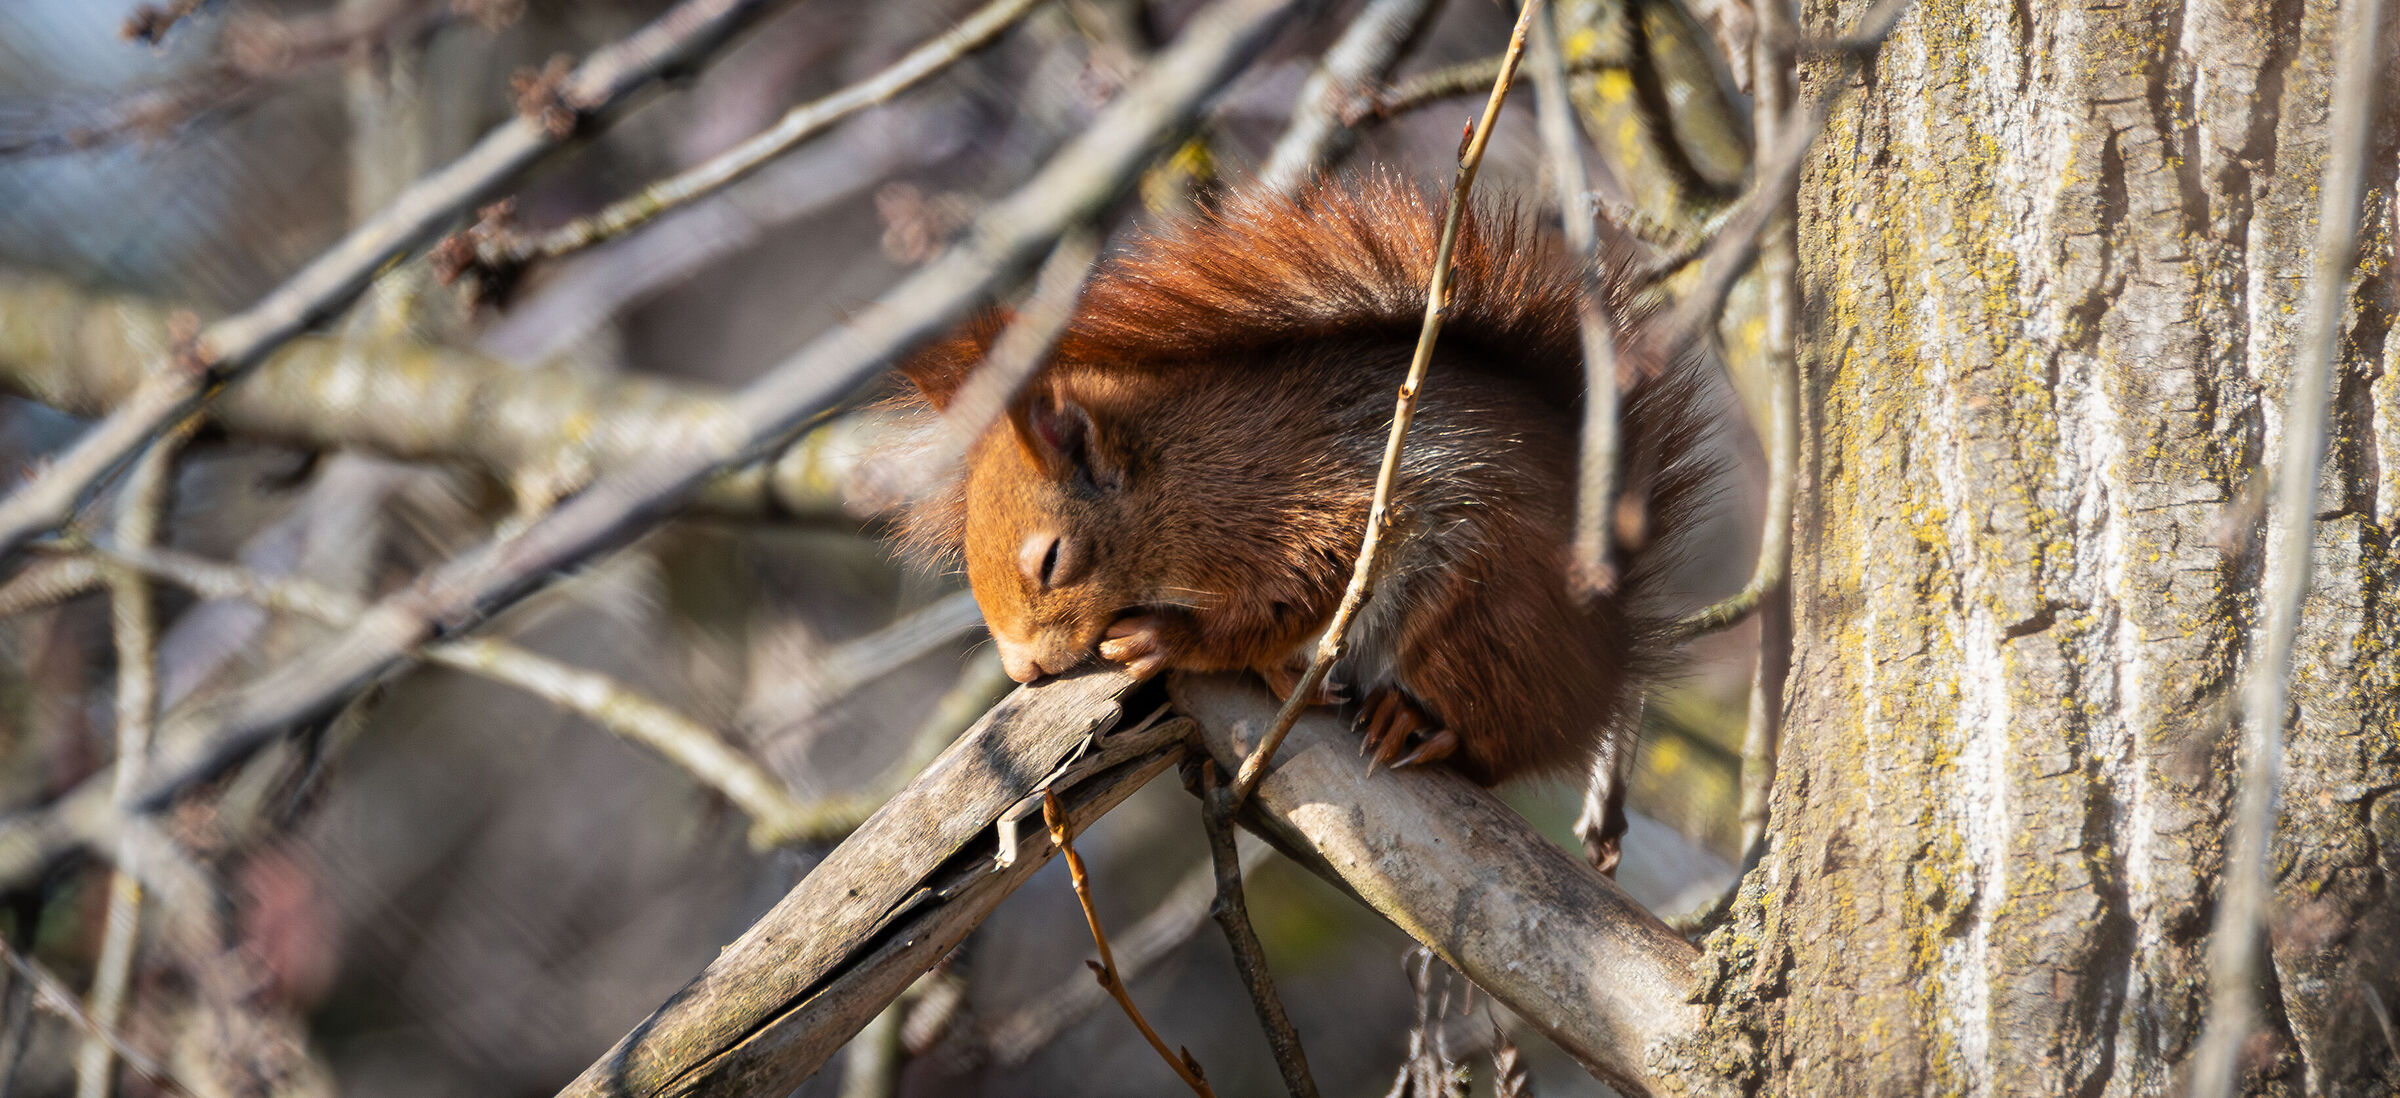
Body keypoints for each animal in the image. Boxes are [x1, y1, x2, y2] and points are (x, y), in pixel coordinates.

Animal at [890, 175, 1717, 868]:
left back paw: (1414, 721)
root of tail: (1606, 657)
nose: (1022, 670)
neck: (1173, 474)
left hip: (1483, 608)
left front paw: (1167, 636)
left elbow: (1286, 597)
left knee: (1490, 739)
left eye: (1052, 560)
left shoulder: (1307, 510)